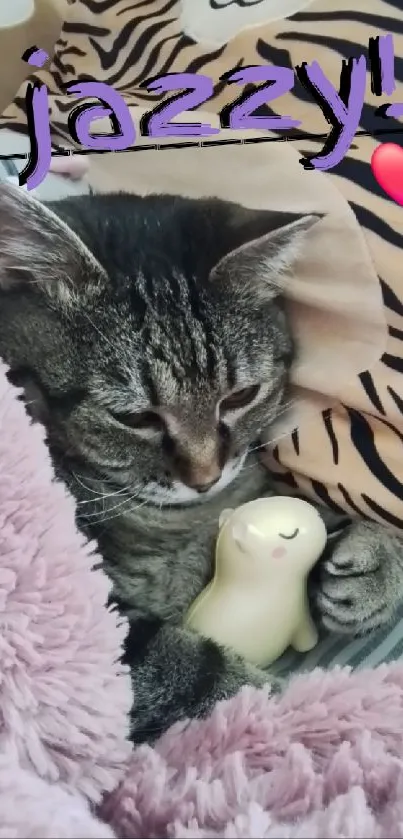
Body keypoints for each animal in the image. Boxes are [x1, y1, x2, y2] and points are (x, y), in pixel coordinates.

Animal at [1, 182, 402, 740]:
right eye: (135, 417)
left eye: (240, 397)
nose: (206, 476)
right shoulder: (89, 628)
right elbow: (204, 678)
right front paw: (302, 718)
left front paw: (374, 556)